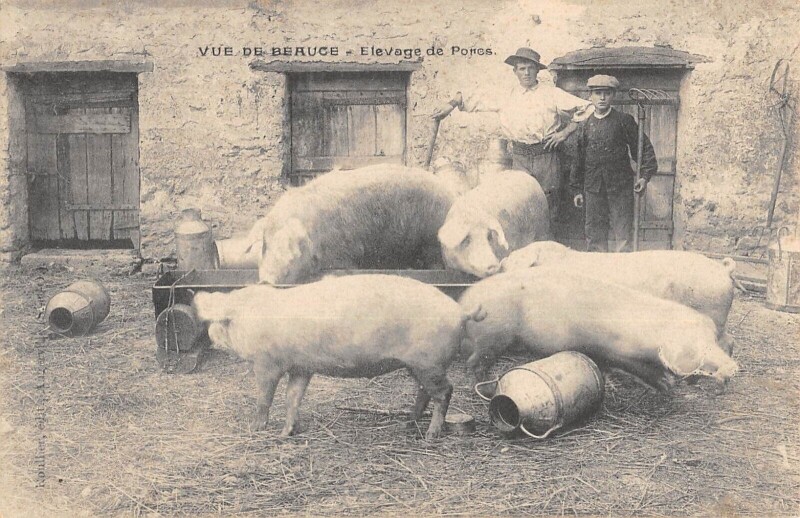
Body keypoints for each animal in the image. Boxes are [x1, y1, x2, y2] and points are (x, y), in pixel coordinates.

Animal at [192, 274, 485, 439]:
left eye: (218, 321)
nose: (212, 338)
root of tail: (460, 311)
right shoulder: (302, 366)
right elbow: (293, 397)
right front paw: (288, 433)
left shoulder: (267, 363)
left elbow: (266, 397)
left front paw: (255, 428)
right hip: (419, 364)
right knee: (425, 392)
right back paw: (407, 424)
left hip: (428, 361)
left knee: (445, 391)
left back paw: (431, 436)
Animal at [245, 164, 457, 284]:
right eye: (265, 245)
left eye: (294, 247)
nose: (266, 281)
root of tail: (451, 197)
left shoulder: (344, 253)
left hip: (430, 241)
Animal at [458, 267, 738, 395]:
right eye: (696, 348)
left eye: (710, 339)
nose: (733, 367)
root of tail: (464, 302)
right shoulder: (611, 350)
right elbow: (632, 367)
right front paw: (666, 385)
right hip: (492, 336)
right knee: (474, 362)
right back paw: (482, 389)